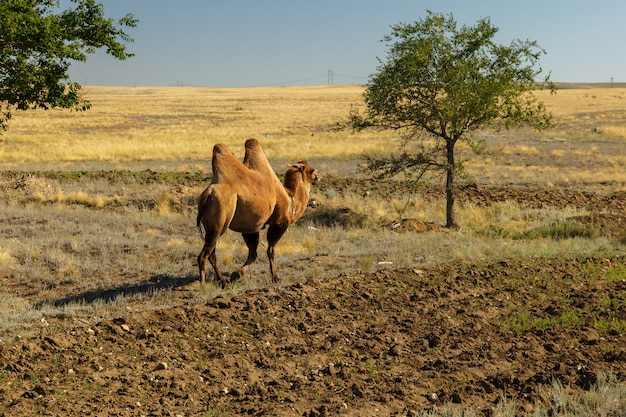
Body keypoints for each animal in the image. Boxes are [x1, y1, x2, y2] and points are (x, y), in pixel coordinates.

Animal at [197, 136, 320, 286]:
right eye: (312, 170)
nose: (318, 174)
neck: (290, 197)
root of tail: (207, 195)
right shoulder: (279, 223)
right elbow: (270, 250)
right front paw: (276, 277)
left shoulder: (250, 227)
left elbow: (253, 253)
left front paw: (237, 274)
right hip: (219, 224)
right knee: (204, 255)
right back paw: (203, 284)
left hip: (210, 227)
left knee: (211, 254)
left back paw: (223, 281)